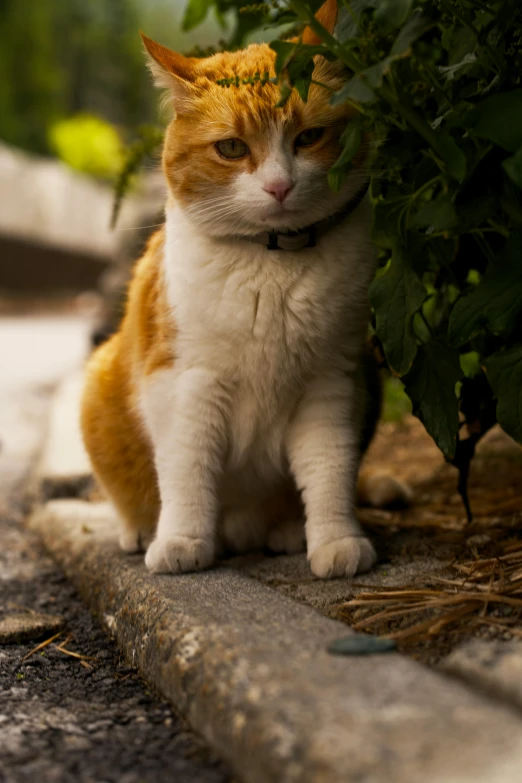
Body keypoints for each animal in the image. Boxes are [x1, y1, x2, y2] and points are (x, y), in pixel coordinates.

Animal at [82, 1, 406, 580]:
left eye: (308, 138)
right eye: (231, 148)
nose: (278, 186)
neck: (271, 261)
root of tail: (245, 526)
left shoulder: (332, 381)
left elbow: (330, 468)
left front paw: (335, 540)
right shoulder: (186, 383)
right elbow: (187, 468)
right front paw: (182, 541)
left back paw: (287, 530)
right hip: (99, 380)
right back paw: (144, 529)